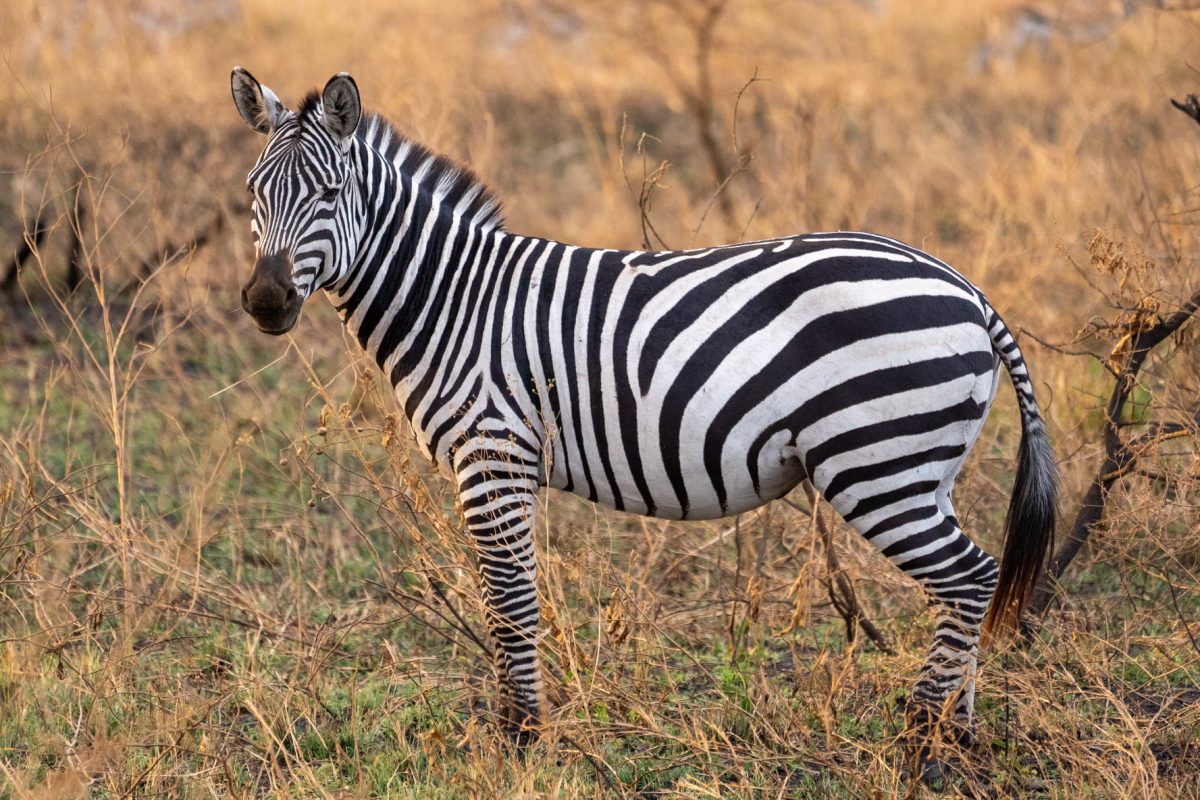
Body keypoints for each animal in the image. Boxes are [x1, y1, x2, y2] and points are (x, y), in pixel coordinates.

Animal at [230, 68, 1058, 759]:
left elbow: (509, 603)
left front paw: (519, 740)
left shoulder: (494, 456)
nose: (266, 302)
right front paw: (522, 731)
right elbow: (513, 601)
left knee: (972, 578)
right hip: (922, 468)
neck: (455, 299)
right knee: (965, 587)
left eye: (329, 197)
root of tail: (964, 286)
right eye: (252, 195)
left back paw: (923, 737)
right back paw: (958, 736)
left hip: (879, 463)